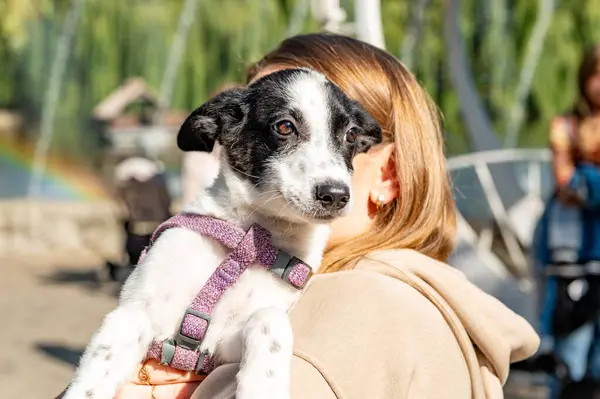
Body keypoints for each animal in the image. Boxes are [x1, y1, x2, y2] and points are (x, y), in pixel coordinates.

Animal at [63, 69, 382, 399]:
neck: (251, 239)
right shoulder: (134, 308)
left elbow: (269, 319)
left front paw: (262, 386)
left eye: (352, 135)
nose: (336, 195)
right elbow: (121, 336)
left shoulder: (221, 349)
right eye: (284, 126)